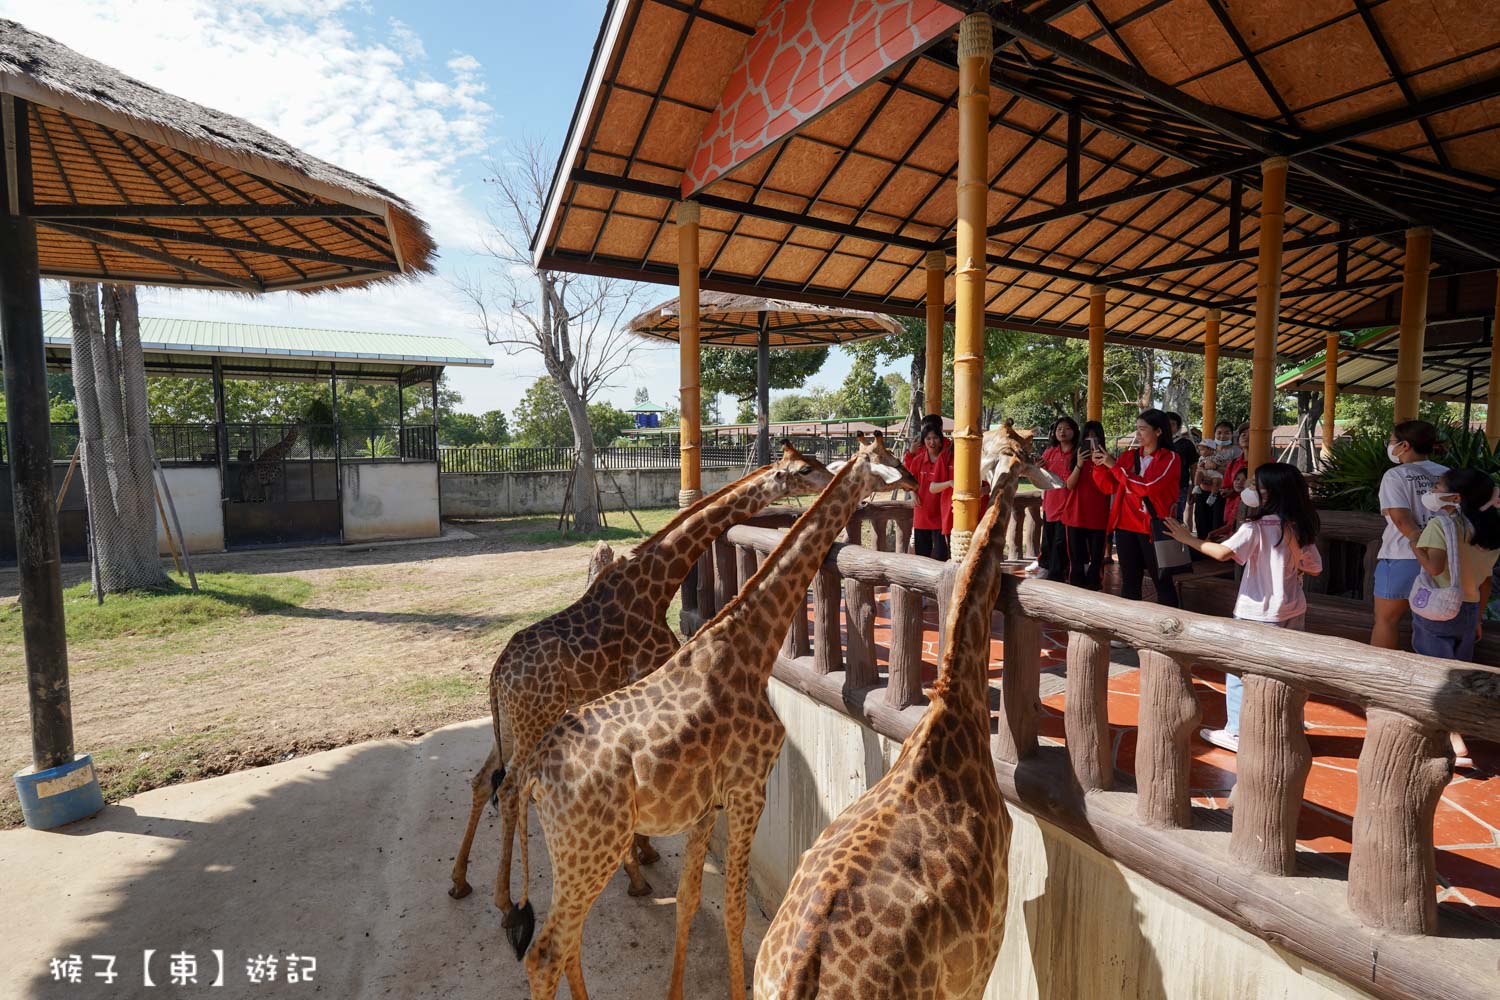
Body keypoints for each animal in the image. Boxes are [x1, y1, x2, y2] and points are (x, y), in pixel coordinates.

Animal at [510, 434, 918, 1000]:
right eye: (890, 460)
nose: (917, 481)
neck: (751, 646)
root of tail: (535, 778)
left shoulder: (705, 806)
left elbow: (687, 901)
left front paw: (676, 991)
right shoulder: (749, 790)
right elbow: (734, 910)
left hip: (574, 853)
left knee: (567, 938)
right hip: (590, 847)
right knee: (545, 952)